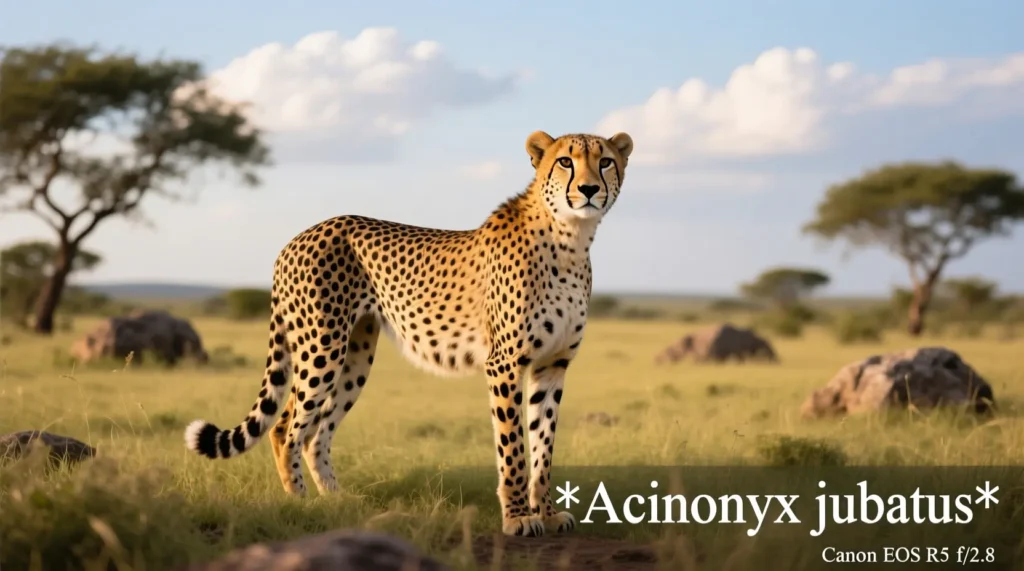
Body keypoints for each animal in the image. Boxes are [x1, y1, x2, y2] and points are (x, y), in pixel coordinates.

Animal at [184, 129, 634, 537]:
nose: (589, 189)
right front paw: (519, 517)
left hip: (354, 356)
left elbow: (543, 446)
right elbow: (515, 449)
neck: (571, 238)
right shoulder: (505, 364)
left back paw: (339, 502)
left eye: (605, 162)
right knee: (285, 428)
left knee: (315, 431)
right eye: (565, 162)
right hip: (321, 347)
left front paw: (548, 513)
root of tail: (297, 238)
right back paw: (299, 505)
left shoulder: (552, 365)